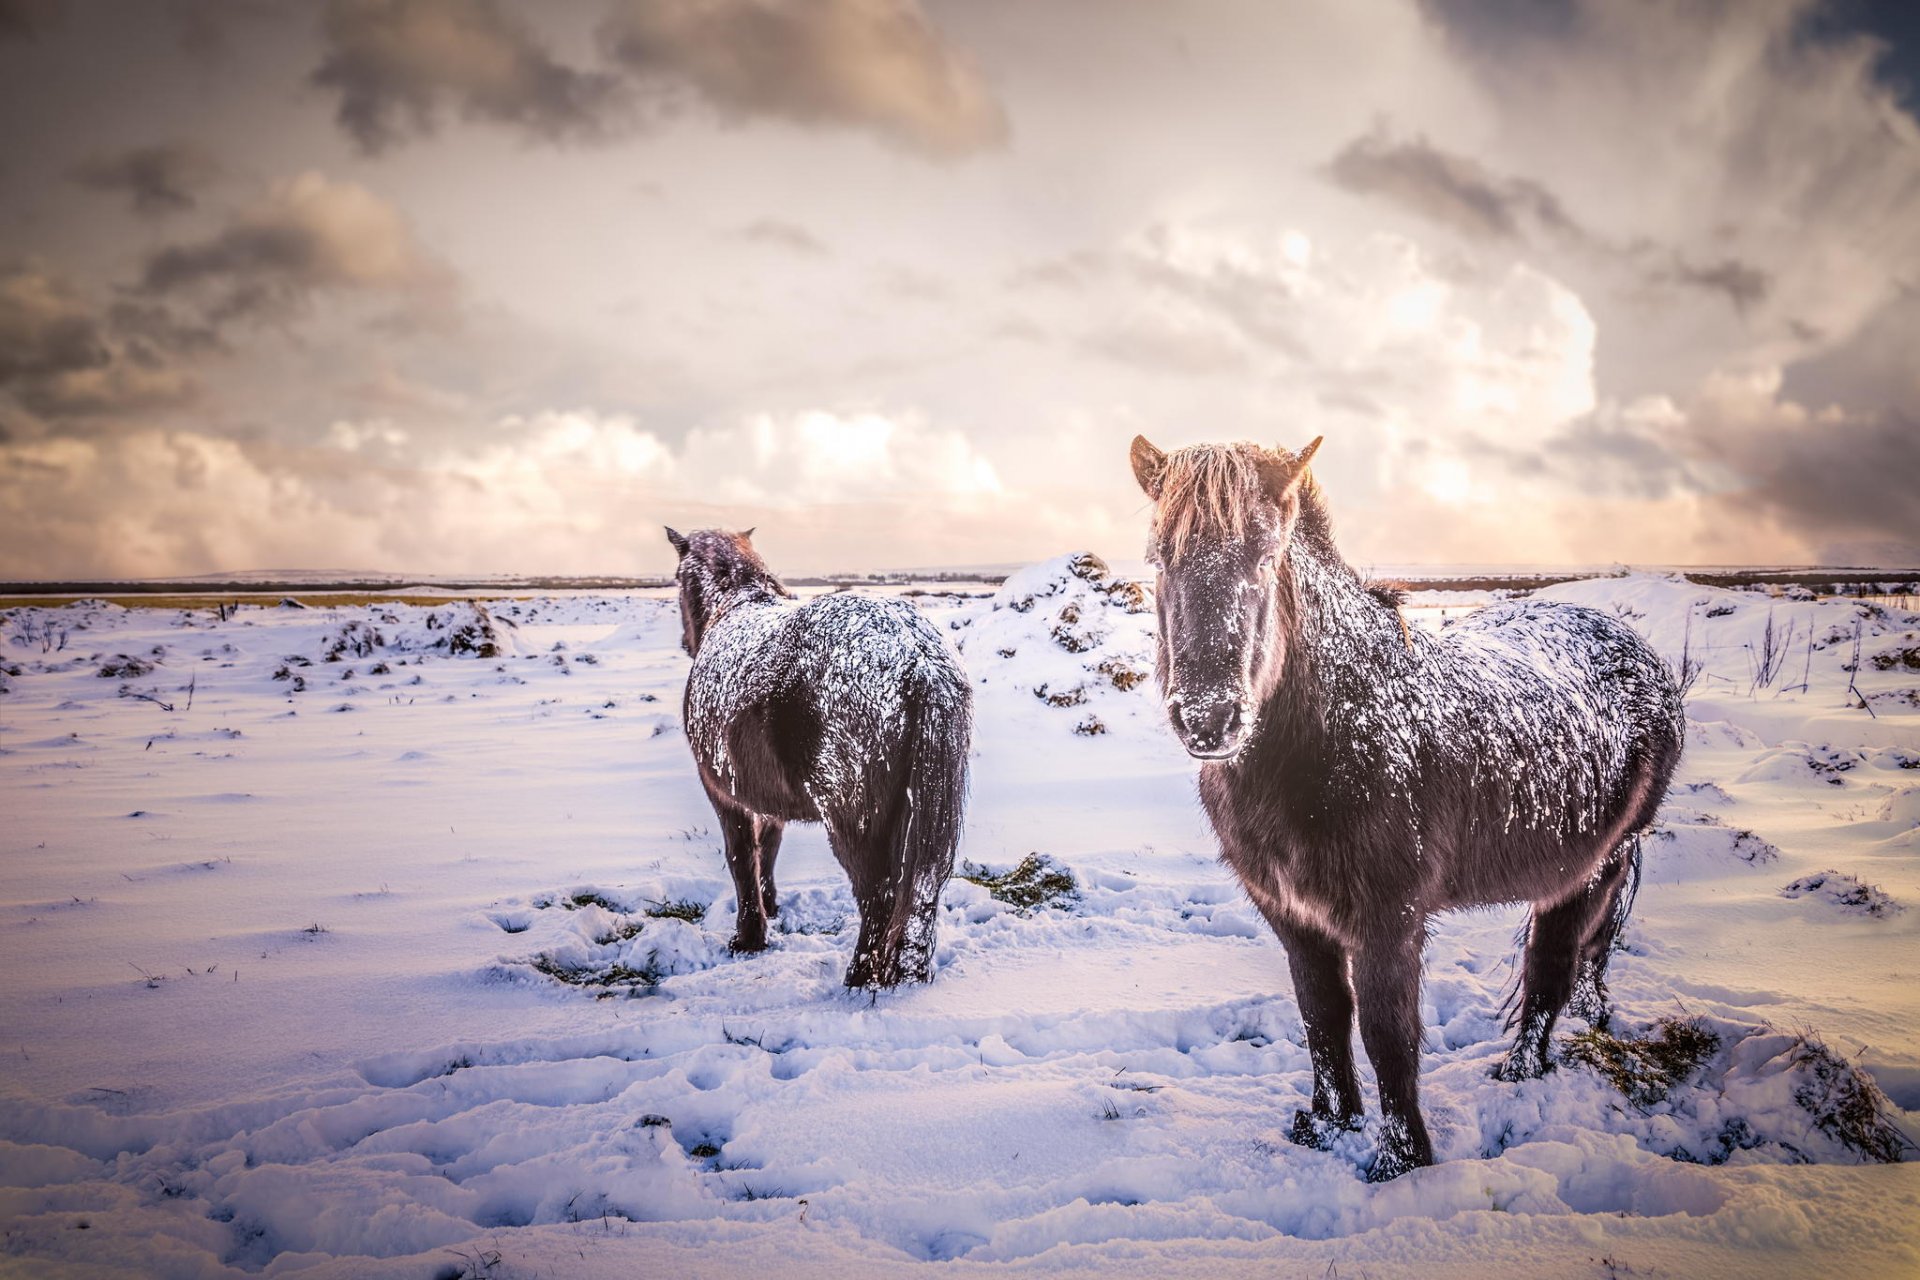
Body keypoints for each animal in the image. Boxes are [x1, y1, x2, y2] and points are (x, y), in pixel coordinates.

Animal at [667, 527, 973, 988]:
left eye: (677, 578)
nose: (686, 642)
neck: (734, 606)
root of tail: (917, 659)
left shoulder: (724, 794)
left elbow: (741, 858)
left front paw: (749, 937)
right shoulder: (767, 799)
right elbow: (767, 848)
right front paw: (770, 908)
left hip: (852, 821)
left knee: (878, 898)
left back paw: (858, 979)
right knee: (921, 891)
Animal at [1128, 437, 1684, 1180]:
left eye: (1266, 554)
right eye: (1158, 558)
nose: (1208, 717)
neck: (1340, 731)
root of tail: (1636, 650)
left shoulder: (1389, 920)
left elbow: (1387, 1032)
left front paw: (1400, 1160)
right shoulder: (1292, 917)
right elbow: (1322, 1016)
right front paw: (1328, 1127)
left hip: (1593, 868)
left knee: (1552, 969)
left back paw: (1519, 1074)